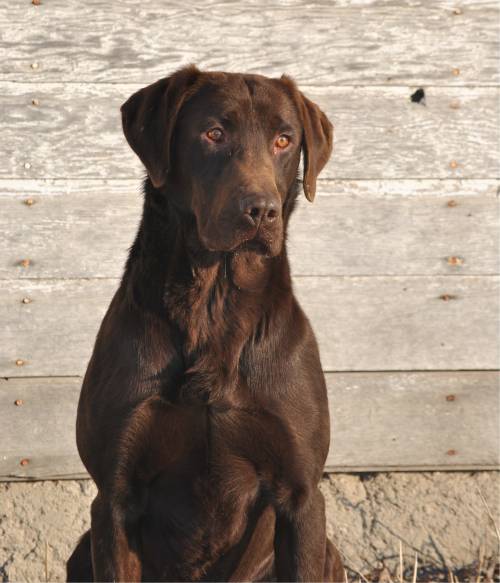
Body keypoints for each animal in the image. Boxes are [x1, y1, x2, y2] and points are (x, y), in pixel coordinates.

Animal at [66, 65, 344, 583]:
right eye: (214, 134)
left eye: (284, 140)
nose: (261, 211)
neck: (214, 304)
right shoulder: (114, 498)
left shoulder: (301, 497)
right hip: (81, 550)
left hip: (328, 552)